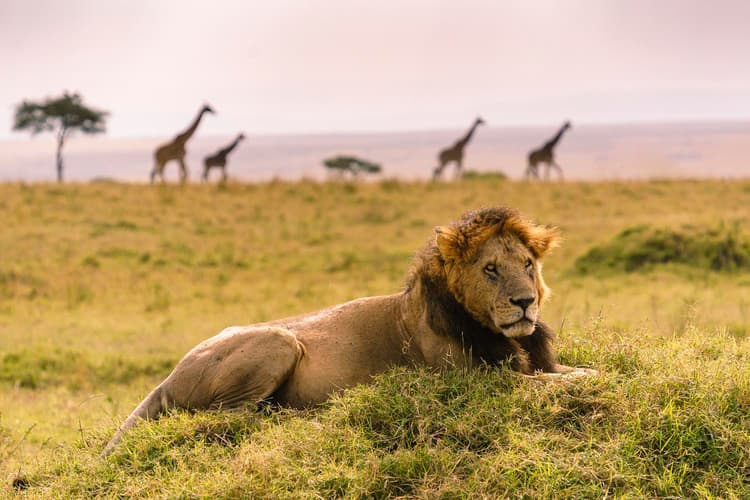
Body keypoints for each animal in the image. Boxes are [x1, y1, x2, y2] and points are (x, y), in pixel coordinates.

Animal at [104, 206, 591, 454]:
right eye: (491, 269)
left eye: (526, 265)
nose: (525, 301)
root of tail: (168, 376)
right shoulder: (478, 382)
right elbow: (557, 385)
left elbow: (577, 373)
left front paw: (587, 375)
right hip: (279, 341)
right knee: (228, 417)